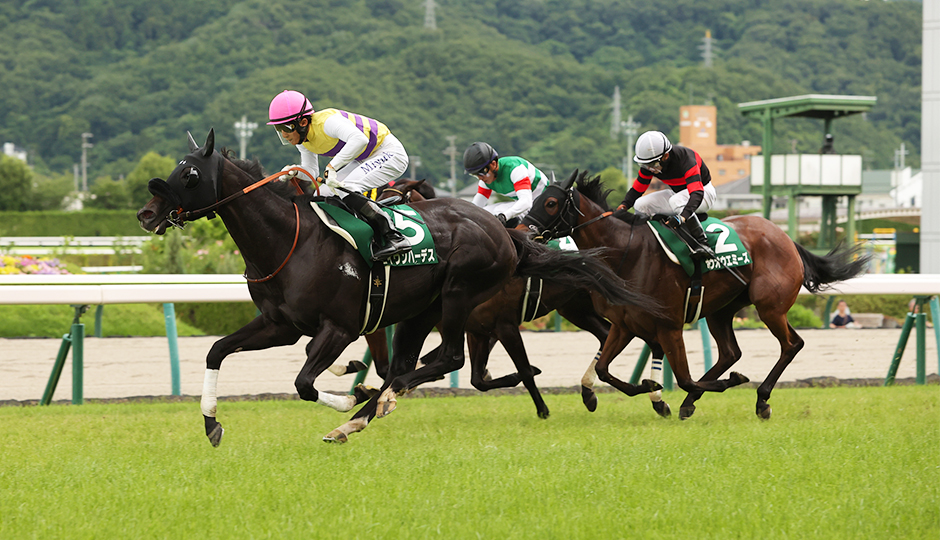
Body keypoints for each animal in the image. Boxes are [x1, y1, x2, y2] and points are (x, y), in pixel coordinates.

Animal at [136, 130, 656, 442]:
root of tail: (503, 232)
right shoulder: (280, 324)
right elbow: (217, 351)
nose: (146, 213)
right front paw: (211, 423)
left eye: (191, 173)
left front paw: (349, 394)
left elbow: (304, 382)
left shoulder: (340, 326)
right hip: (426, 310)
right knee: (413, 363)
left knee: (446, 359)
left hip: (460, 293)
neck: (290, 240)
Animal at [520, 171, 868, 420]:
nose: (523, 232)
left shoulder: (669, 326)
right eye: (535, 200)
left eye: (550, 203)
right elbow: (605, 369)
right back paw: (693, 402)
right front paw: (650, 387)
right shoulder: (624, 324)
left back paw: (761, 400)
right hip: (720, 310)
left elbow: (685, 377)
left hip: (770, 307)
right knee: (730, 353)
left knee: (791, 344)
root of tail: (785, 237)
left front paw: (725, 383)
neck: (627, 253)